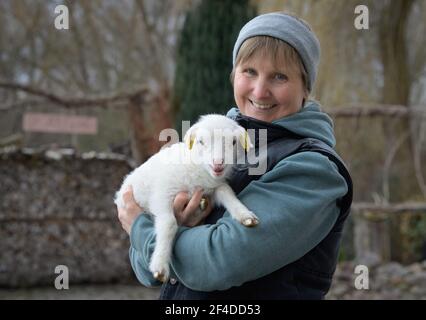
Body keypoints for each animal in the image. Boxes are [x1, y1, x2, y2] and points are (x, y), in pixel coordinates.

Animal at [114, 114, 260, 282]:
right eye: (200, 141)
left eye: (234, 142)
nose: (218, 163)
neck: (198, 170)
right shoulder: (163, 194)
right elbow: (169, 223)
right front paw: (160, 265)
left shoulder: (213, 187)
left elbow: (227, 192)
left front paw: (245, 215)